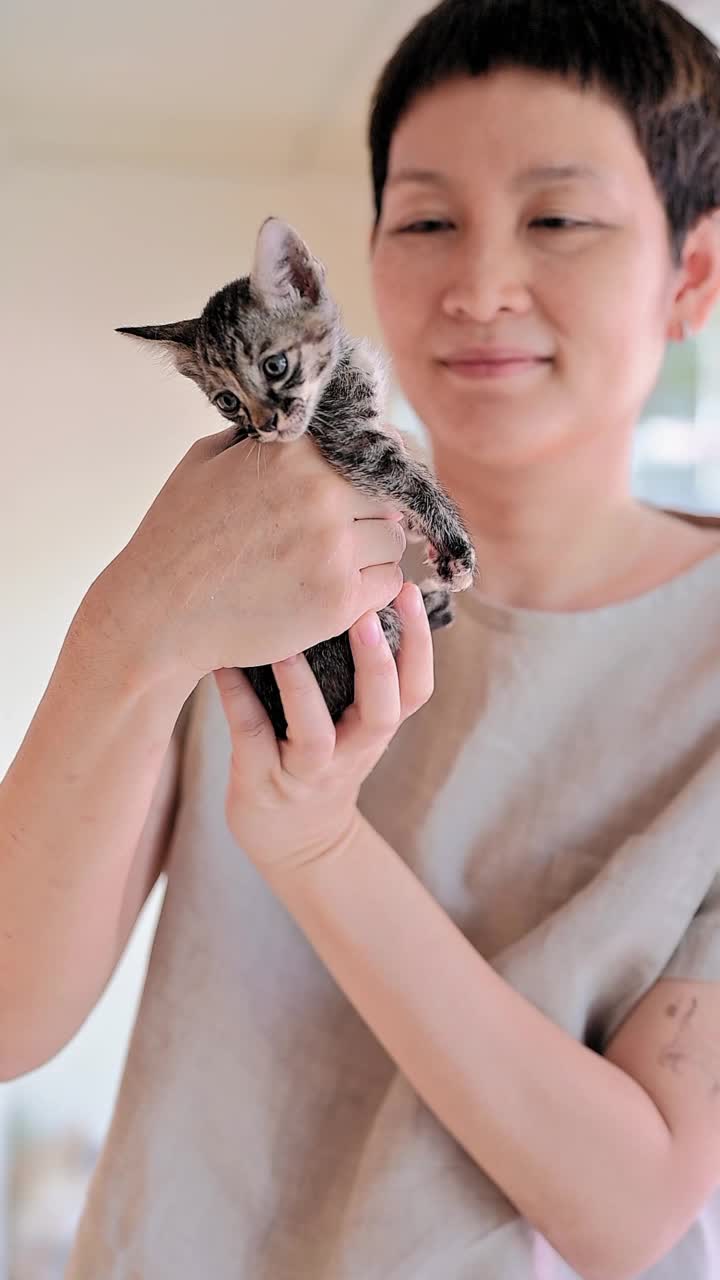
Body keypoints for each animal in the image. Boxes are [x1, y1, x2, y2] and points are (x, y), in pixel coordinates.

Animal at [116, 218, 476, 737]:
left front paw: (415, 529)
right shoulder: (351, 440)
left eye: (275, 366)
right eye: (227, 401)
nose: (264, 425)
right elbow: (412, 479)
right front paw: (453, 547)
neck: (339, 366)